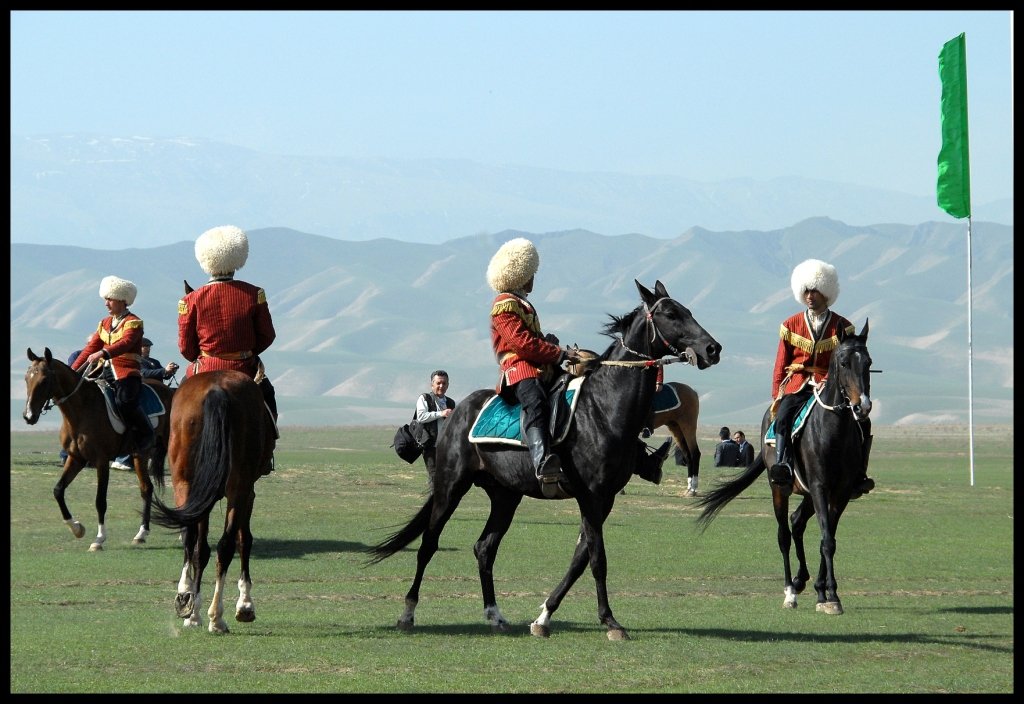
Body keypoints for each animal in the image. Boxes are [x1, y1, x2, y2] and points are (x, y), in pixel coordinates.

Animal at [22, 345, 173, 548]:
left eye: (44, 379)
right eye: (26, 378)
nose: (29, 416)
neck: (82, 409)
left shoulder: (101, 461)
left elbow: (100, 500)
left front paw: (99, 539)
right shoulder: (75, 458)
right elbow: (58, 490)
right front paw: (77, 528)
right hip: (140, 454)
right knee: (146, 489)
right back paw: (141, 533)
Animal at [149, 370, 274, 634]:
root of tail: (217, 389)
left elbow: (202, 545)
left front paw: (189, 600)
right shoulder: (248, 492)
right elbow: (243, 539)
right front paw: (245, 605)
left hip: (186, 483)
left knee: (198, 541)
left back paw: (198, 609)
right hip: (236, 486)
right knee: (220, 544)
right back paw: (212, 615)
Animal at [368, 278, 720, 638]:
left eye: (687, 310)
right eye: (670, 314)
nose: (712, 349)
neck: (604, 408)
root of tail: (456, 412)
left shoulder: (604, 499)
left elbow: (580, 558)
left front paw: (543, 616)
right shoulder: (591, 496)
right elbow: (597, 559)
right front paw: (610, 621)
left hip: (505, 496)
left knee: (484, 548)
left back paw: (495, 615)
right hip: (451, 486)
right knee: (428, 544)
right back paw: (408, 613)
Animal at [696, 321, 872, 613]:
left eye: (868, 362)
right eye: (844, 362)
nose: (863, 406)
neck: (832, 431)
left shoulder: (841, 492)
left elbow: (828, 538)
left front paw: (826, 593)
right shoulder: (820, 487)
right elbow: (826, 540)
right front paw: (832, 596)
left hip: (809, 494)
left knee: (797, 522)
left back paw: (805, 583)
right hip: (780, 488)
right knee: (784, 534)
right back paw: (790, 590)